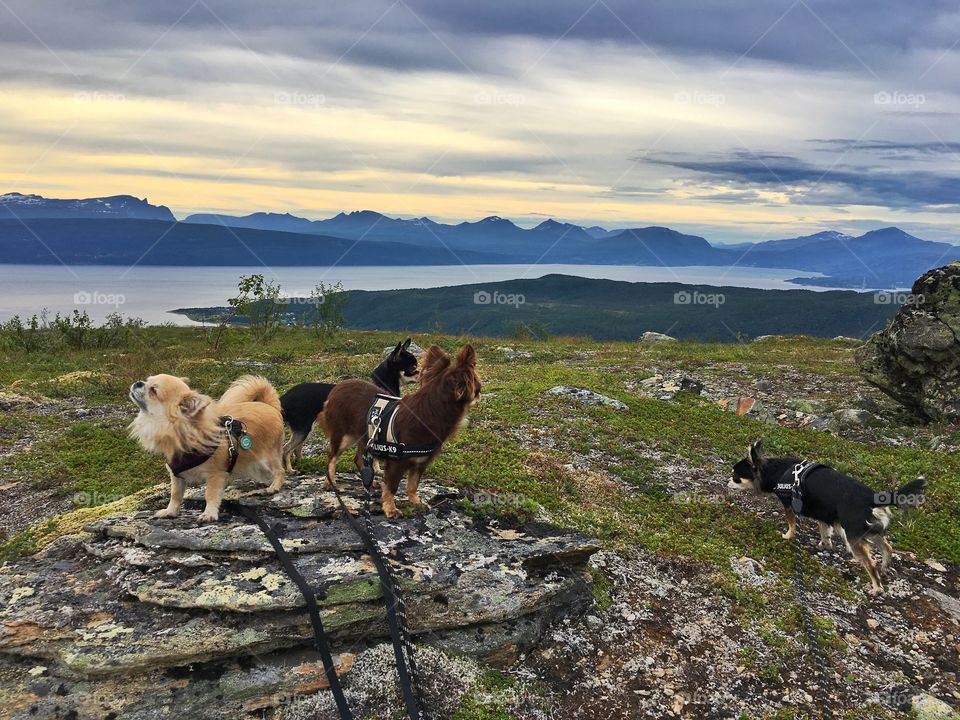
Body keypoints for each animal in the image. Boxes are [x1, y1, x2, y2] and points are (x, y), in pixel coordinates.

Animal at [129, 376, 284, 524]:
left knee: (280, 470)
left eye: (153, 391)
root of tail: (268, 405)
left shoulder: (215, 475)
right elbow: (175, 495)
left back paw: (274, 486)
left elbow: (210, 494)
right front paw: (170, 512)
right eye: (147, 380)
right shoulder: (177, 476)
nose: (138, 382)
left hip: (269, 456)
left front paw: (209, 514)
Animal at [280, 338, 418, 472]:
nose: (420, 372)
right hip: (303, 428)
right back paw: (290, 469)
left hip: (307, 429)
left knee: (296, 449)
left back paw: (301, 464)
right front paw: (378, 470)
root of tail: (284, 397)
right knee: (286, 449)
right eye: (412, 368)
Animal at [320, 344, 480, 516]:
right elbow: (392, 487)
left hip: (366, 436)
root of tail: (337, 387)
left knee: (358, 459)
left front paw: (415, 502)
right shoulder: (397, 462)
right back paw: (330, 482)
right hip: (344, 437)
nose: (479, 396)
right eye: (478, 387)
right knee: (331, 458)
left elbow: (413, 484)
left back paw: (369, 482)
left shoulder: (420, 462)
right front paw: (390, 508)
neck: (429, 413)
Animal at [732, 438, 928, 596]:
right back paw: (885, 567)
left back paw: (876, 587)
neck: (776, 470)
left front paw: (788, 536)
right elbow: (824, 530)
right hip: (867, 529)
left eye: (735, 476)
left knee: (871, 563)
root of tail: (871, 497)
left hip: (854, 534)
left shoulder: (789, 506)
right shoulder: (823, 513)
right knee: (887, 547)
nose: (727, 480)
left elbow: (792, 524)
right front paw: (825, 544)